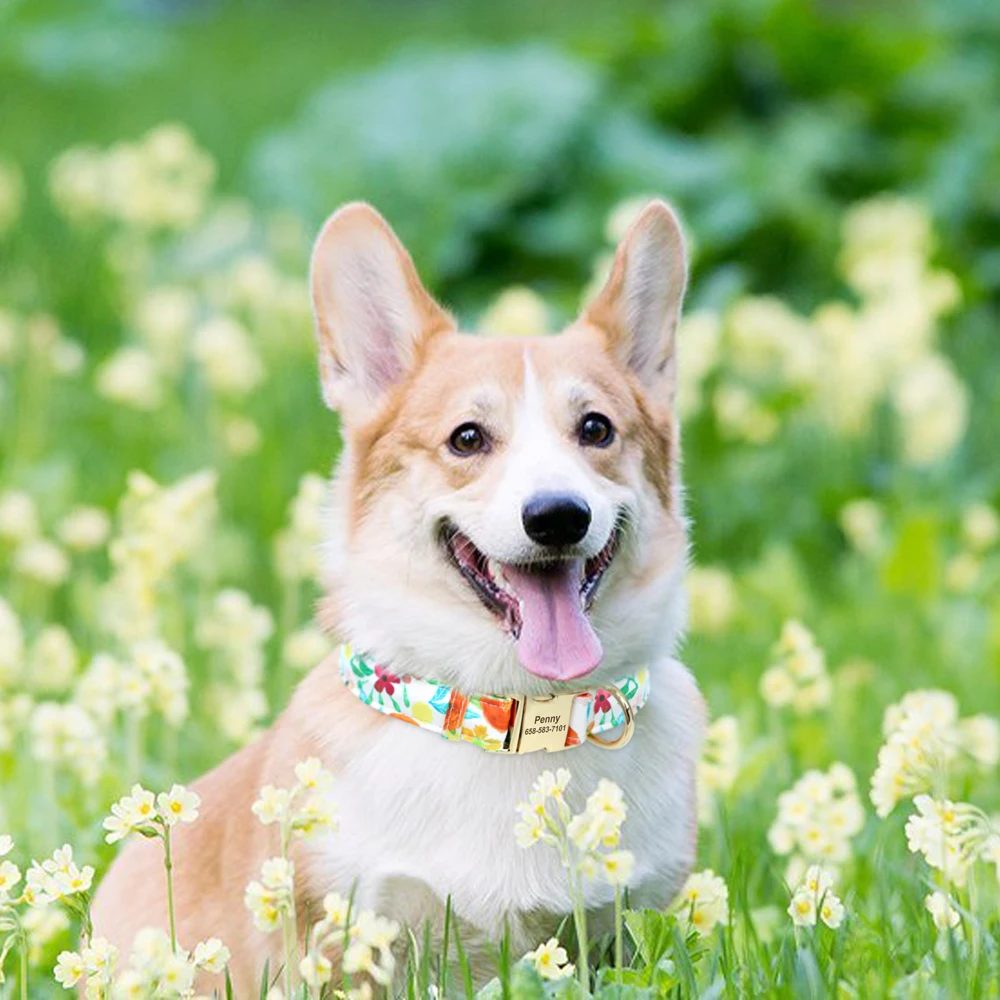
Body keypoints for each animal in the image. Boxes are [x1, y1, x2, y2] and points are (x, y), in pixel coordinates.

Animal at [92, 197, 704, 992]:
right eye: (467, 438)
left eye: (596, 428)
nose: (557, 516)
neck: (510, 714)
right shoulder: (349, 937)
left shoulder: (626, 928)